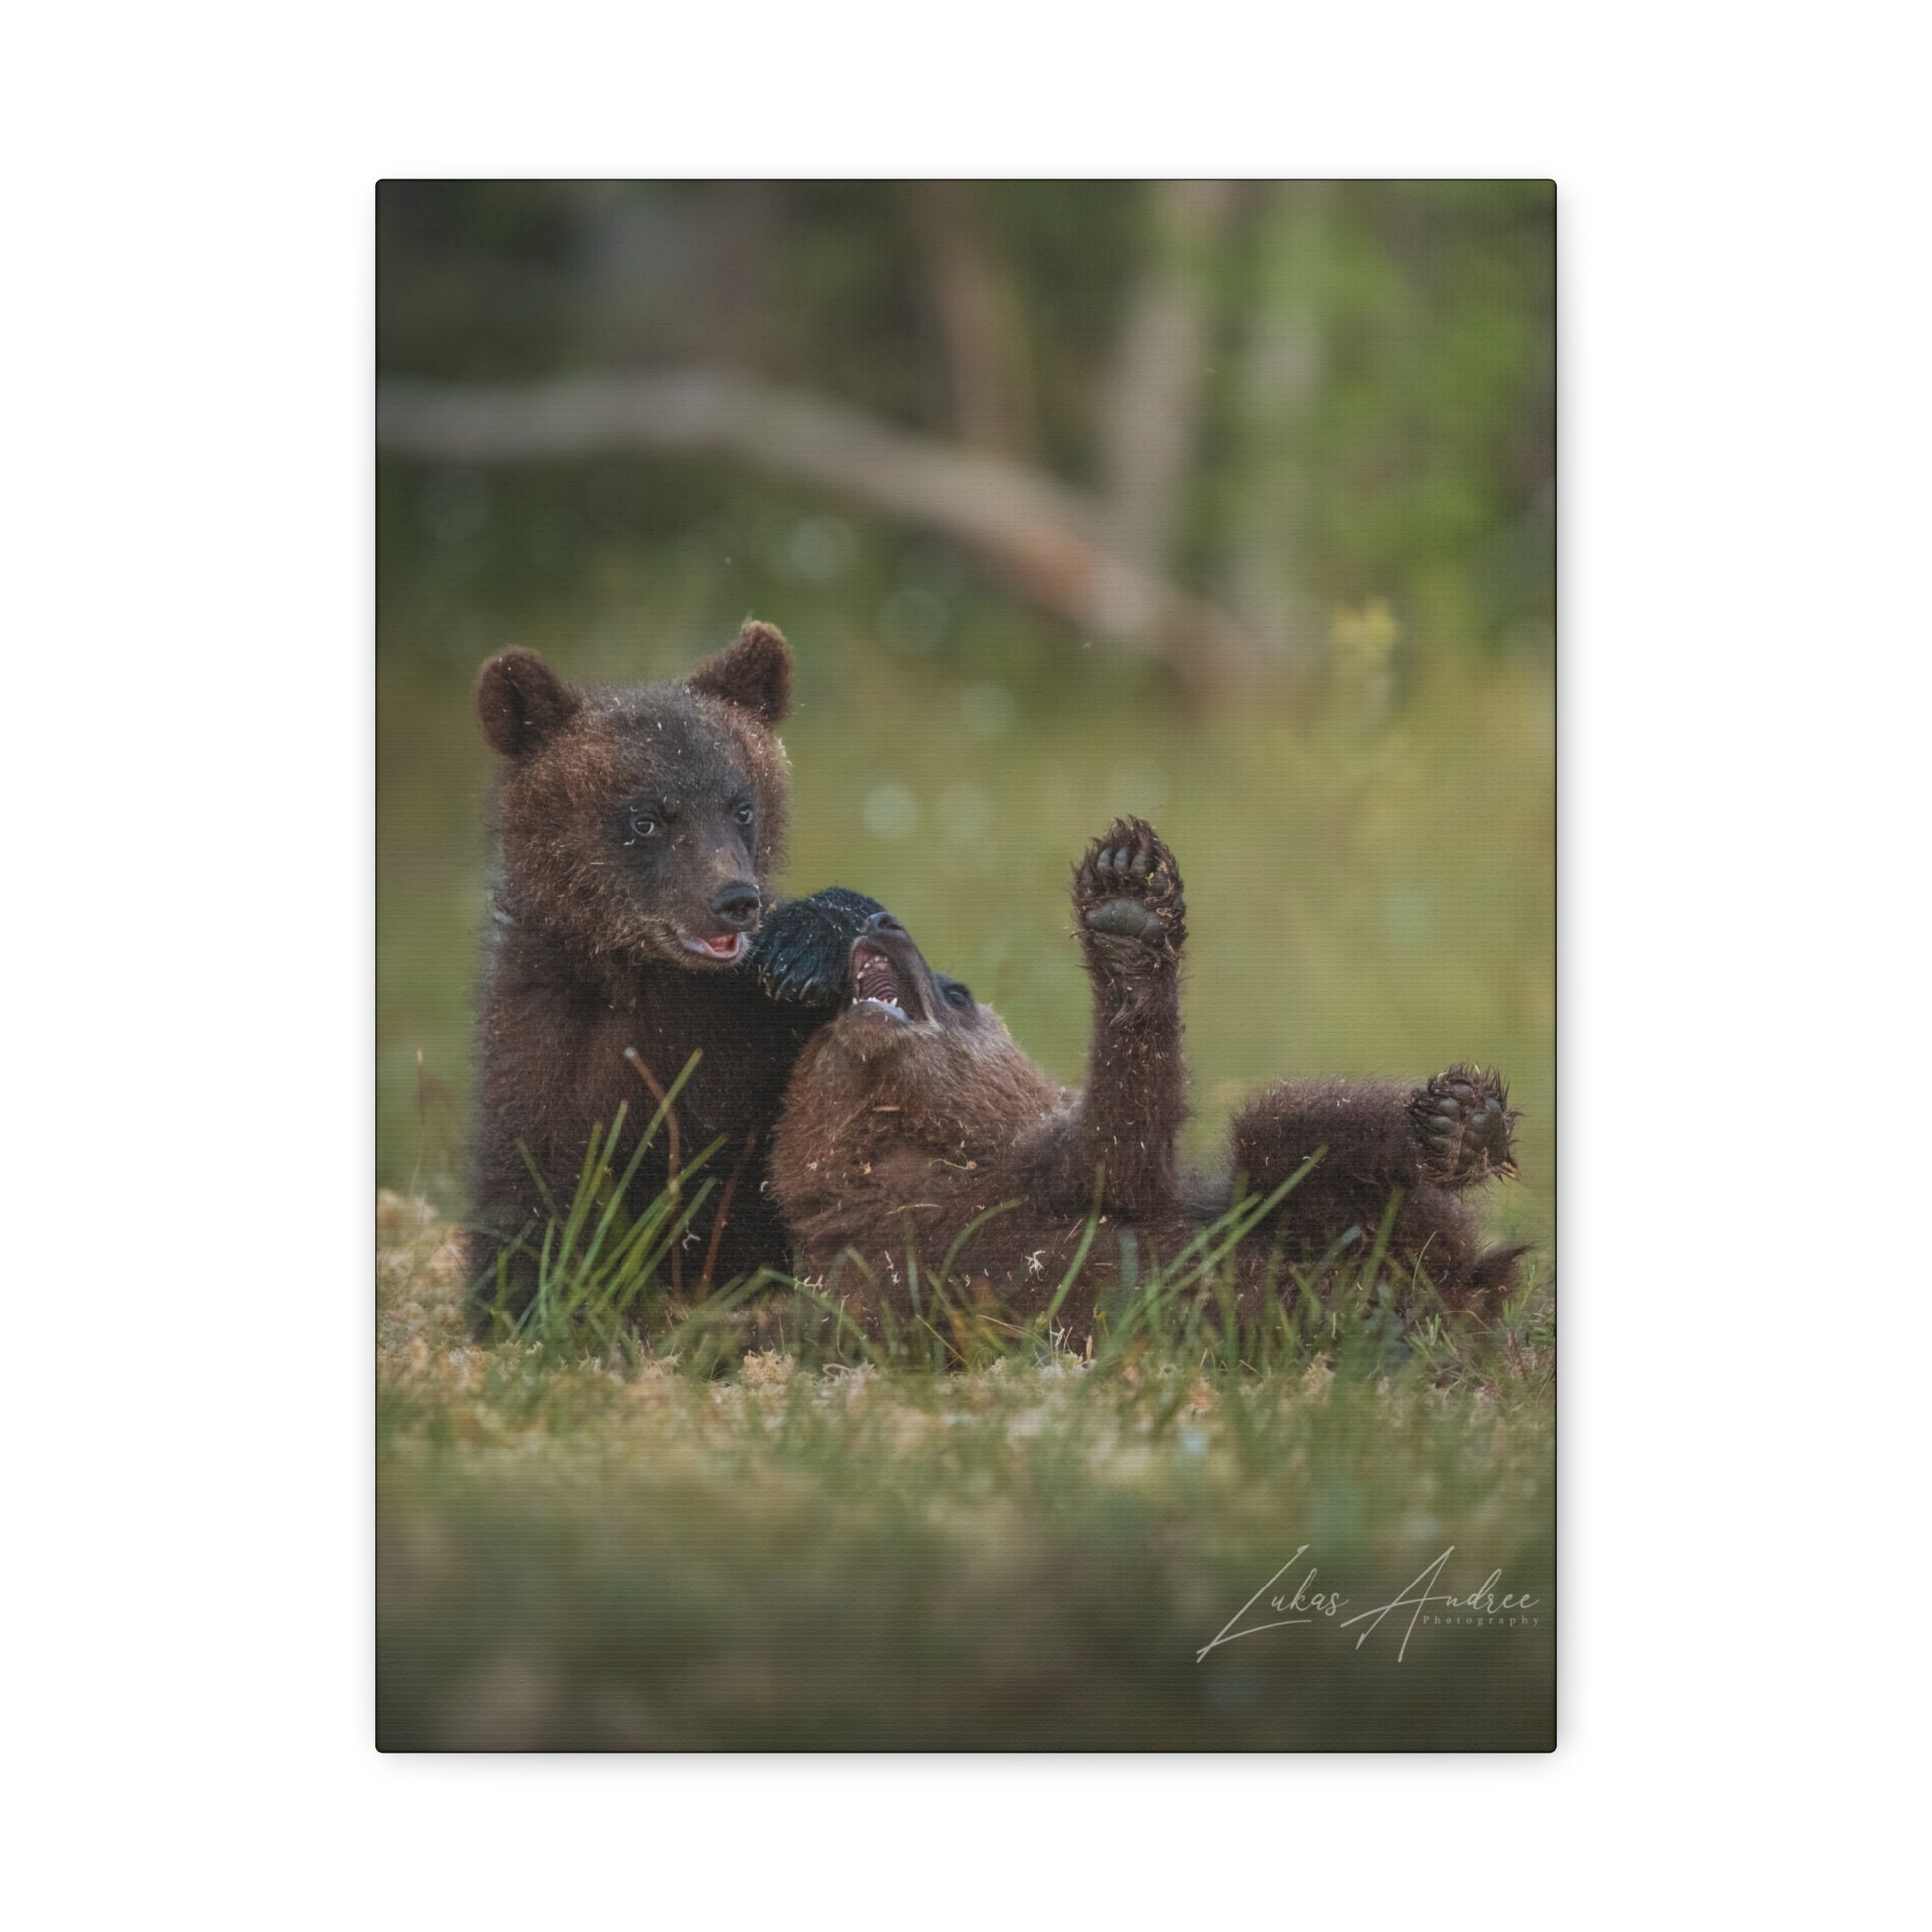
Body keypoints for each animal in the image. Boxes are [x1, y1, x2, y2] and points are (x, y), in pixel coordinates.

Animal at [466, 620, 882, 1324]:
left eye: (740, 806)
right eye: (646, 819)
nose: (734, 899)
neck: (647, 974)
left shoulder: (750, 1033)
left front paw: (809, 942)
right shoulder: (543, 1038)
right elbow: (528, 1190)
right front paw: (526, 1303)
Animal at [769, 816, 1525, 1349]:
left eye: (958, 990)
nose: (880, 920)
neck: (910, 1167)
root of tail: (1466, 1298)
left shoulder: (1051, 1178)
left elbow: (1123, 1140)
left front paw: (1126, 904)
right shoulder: (864, 1272)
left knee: (1286, 1129)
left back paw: (1460, 1124)